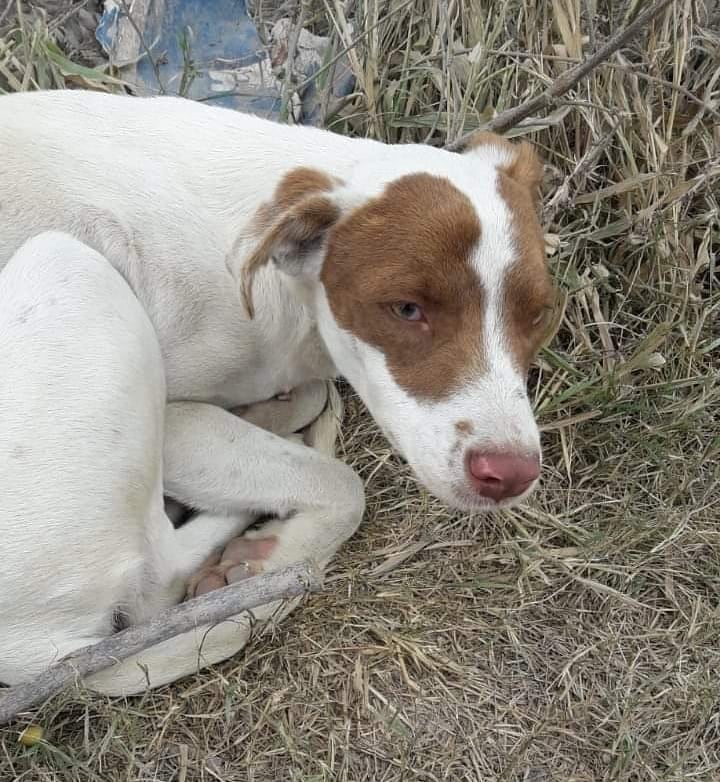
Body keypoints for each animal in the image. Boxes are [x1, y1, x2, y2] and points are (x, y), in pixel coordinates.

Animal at [0, 90, 552, 700]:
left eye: (538, 315)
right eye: (407, 309)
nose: (510, 474)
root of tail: (35, 655)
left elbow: (308, 396)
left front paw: (271, 412)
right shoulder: (176, 427)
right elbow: (344, 487)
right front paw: (274, 560)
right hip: (70, 266)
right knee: (156, 584)